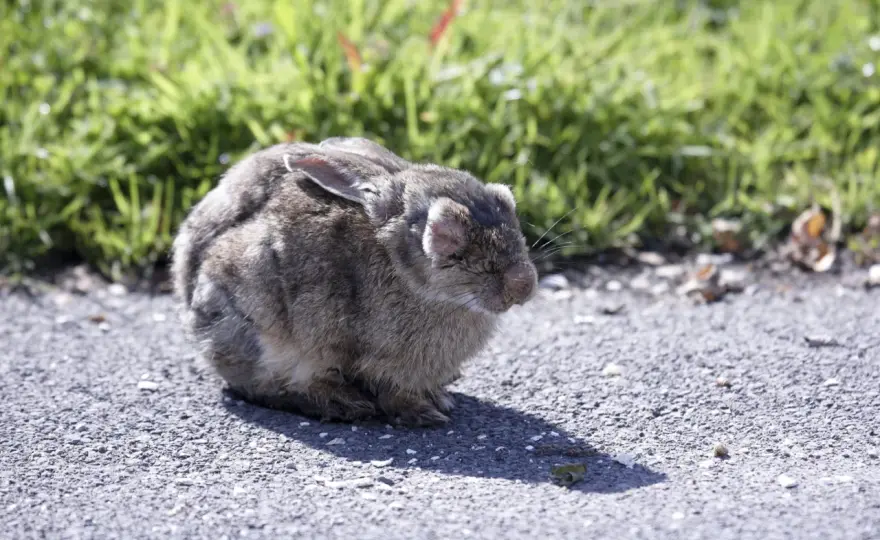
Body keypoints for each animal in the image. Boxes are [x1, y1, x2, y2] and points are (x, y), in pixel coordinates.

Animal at [170, 137, 538, 427]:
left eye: (507, 205)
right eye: (447, 237)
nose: (523, 284)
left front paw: (438, 401)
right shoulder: (381, 360)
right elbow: (393, 392)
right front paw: (423, 415)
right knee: (265, 386)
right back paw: (341, 403)